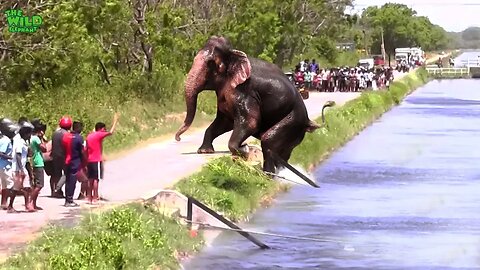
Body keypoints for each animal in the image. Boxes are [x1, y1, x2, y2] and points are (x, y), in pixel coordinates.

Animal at [174, 35, 336, 174]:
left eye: (211, 63)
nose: (178, 138)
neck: (234, 54)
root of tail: (309, 121)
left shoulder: (245, 92)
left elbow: (250, 122)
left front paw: (244, 150)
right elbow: (224, 121)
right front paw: (205, 151)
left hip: (293, 120)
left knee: (268, 141)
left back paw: (269, 174)